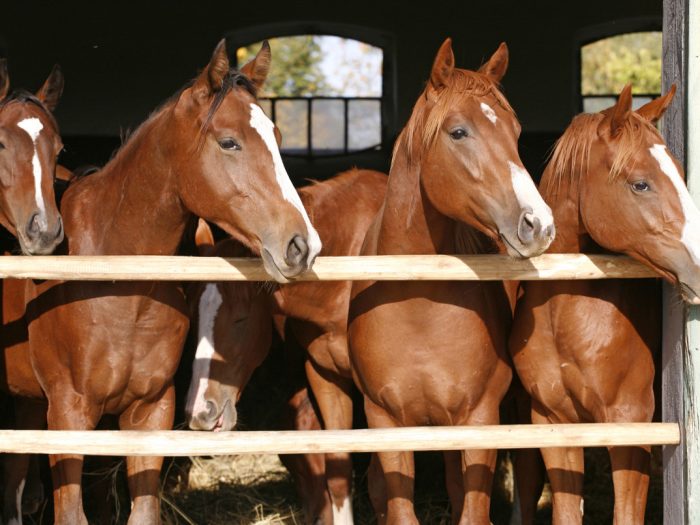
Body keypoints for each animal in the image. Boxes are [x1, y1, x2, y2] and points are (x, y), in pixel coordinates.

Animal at [346, 38, 555, 525]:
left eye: (516, 132)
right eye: (458, 132)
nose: (538, 224)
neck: (416, 305)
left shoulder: (480, 418)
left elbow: (473, 508)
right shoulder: (385, 421)